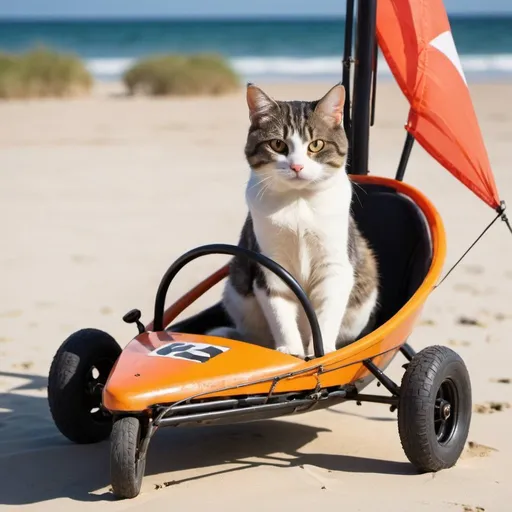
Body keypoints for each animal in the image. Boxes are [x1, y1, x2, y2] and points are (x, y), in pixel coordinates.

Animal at [208, 82, 380, 358]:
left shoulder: (334, 265)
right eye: (278, 145)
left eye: (316, 145)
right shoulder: (270, 266)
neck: (298, 204)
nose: (297, 167)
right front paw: (291, 351)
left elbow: (326, 314)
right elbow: (280, 312)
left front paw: (323, 352)